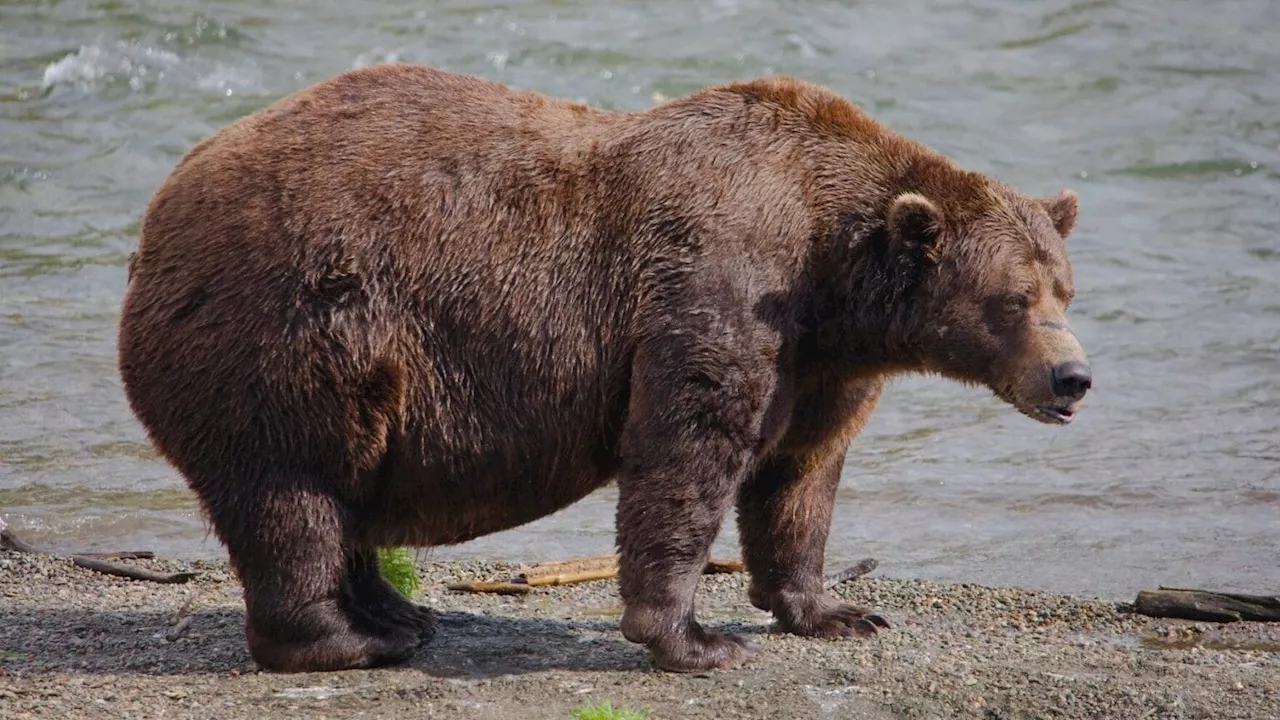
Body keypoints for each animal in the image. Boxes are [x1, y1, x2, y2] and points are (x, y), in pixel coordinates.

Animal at [115, 63, 1090, 671]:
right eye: (1013, 299)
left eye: (1065, 289)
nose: (1072, 378)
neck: (833, 274)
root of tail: (155, 217)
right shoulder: (719, 285)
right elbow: (687, 452)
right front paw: (695, 639)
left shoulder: (821, 363)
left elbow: (799, 477)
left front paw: (836, 611)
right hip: (291, 330)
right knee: (294, 492)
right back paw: (349, 639)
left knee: (342, 493)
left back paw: (398, 612)